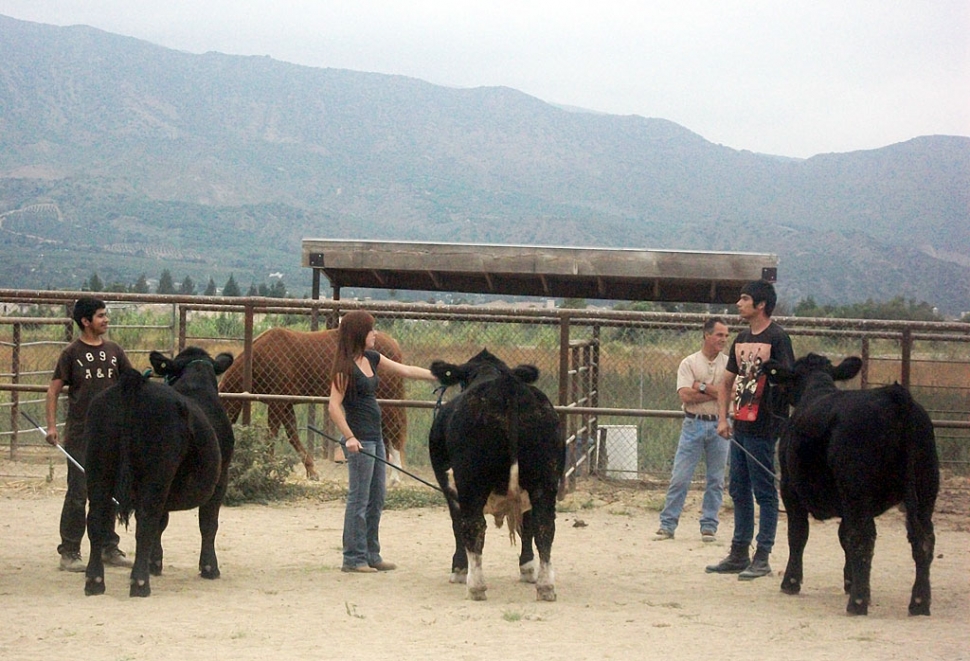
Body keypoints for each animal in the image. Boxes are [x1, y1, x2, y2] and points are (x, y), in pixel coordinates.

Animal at [83, 348, 234, 596]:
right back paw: (139, 584)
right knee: (145, 521)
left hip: (98, 467)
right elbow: (208, 523)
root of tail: (136, 385)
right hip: (156, 474)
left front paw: (154, 562)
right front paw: (209, 568)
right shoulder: (221, 478)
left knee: (96, 518)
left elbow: (162, 523)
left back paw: (94, 582)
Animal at [220, 328, 408, 480]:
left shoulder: (277, 404)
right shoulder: (286, 405)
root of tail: (394, 344)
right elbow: (293, 435)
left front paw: (267, 470)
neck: (259, 358)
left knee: (393, 430)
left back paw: (395, 477)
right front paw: (311, 471)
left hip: (386, 400)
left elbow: (271, 437)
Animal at [428, 348, 564, 600]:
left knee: (473, 525)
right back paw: (545, 586)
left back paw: (476, 586)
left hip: (471, 482)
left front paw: (459, 568)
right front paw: (527, 567)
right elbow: (528, 525)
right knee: (544, 525)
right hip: (545, 479)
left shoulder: (449, 486)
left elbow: (457, 524)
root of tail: (506, 386)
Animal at [764, 354, 936, 616]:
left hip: (857, 490)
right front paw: (850, 580)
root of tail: (894, 395)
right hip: (924, 490)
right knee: (923, 540)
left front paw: (791, 582)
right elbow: (844, 536)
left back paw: (858, 602)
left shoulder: (790, 489)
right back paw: (919, 603)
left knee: (864, 539)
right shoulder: (845, 502)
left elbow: (798, 534)